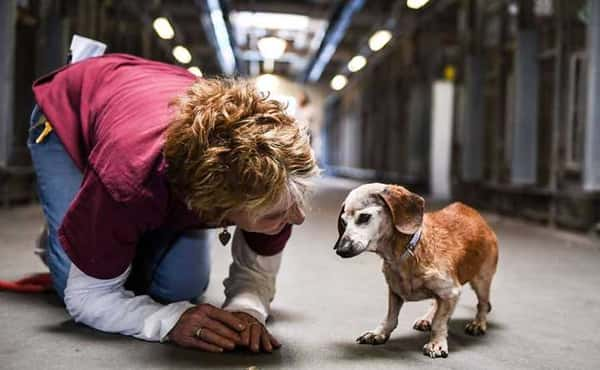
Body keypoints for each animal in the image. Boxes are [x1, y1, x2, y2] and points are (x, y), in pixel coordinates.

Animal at [336, 184, 500, 356]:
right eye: (343, 222)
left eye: (364, 217)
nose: (341, 250)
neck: (407, 252)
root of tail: (476, 215)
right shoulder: (395, 292)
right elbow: (390, 317)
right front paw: (378, 333)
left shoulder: (451, 291)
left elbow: (439, 322)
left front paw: (436, 343)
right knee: (435, 303)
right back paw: (427, 318)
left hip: (481, 281)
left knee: (483, 304)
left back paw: (478, 323)